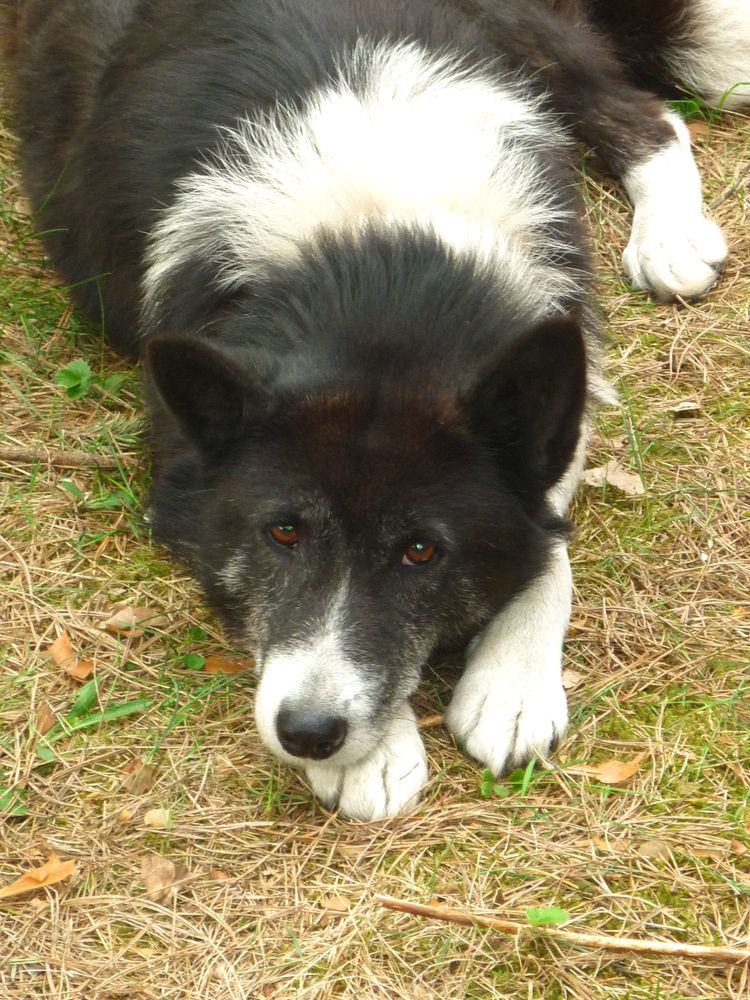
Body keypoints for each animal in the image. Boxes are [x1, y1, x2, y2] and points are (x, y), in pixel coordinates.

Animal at [2, 1, 748, 820]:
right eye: (282, 532)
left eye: (421, 551)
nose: (309, 733)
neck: (379, 262)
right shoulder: (185, 486)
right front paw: (376, 754)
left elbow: (546, 544)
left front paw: (512, 682)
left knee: (648, 116)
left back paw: (670, 236)